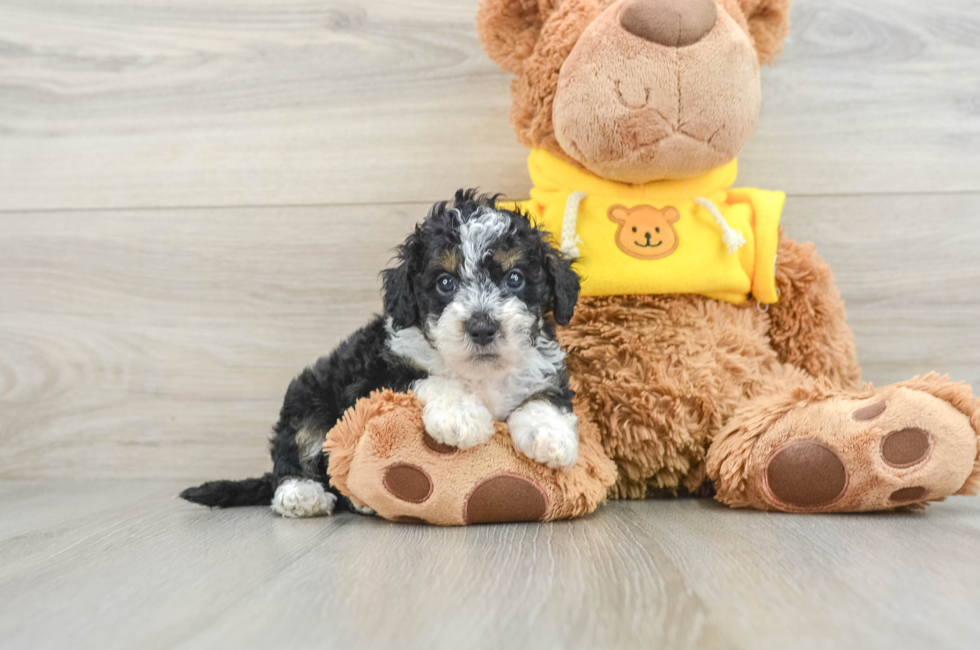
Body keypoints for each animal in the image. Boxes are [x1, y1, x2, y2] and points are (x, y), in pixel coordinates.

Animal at [179, 189, 580, 516]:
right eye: (445, 283)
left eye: (515, 278)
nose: (482, 327)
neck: (479, 372)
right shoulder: (378, 373)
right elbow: (428, 377)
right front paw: (462, 416)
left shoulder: (542, 368)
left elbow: (543, 397)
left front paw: (551, 437)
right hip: (307, 402)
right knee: (295, 455)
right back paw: (303, 495)